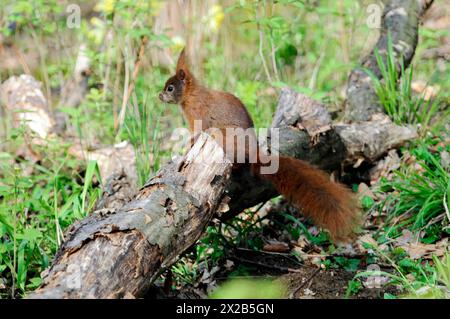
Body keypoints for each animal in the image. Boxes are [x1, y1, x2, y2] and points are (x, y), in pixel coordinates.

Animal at [160, 48, 360, 242]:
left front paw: (187, 147)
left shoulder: (199, 116)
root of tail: (253, 152)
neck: (191, 96)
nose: (160, 96)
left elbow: (198, 132)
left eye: (170, 88)